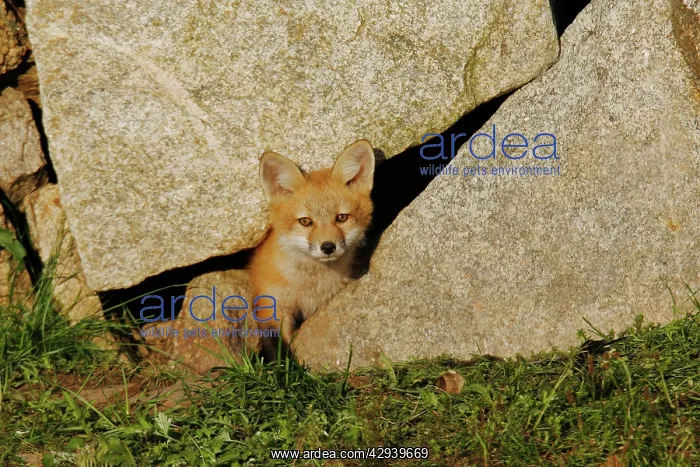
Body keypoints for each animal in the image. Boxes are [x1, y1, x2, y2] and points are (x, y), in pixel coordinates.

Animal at [248, 139, 375, 361]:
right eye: (305, 221)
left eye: (341, 218)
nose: (328, 247)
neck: (310, 286)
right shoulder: (272, 309)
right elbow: (283, 355)